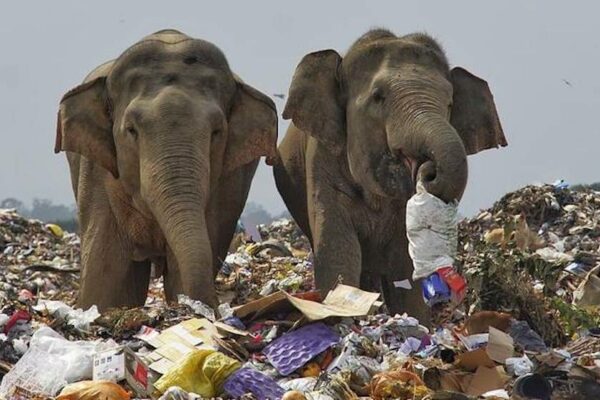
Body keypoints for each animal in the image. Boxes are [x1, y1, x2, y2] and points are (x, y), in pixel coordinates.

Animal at [56, 30, 278, 312]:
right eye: (131, 130)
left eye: (217, 132)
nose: (216, 307)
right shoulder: (97, 174)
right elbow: (107, 282)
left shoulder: (228, 184)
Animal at [276, 28, 506, 322]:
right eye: (378, 97)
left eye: (450, 102)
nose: (427, 170)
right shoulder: (322, 158)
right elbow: (337, 248)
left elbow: (404, 265)